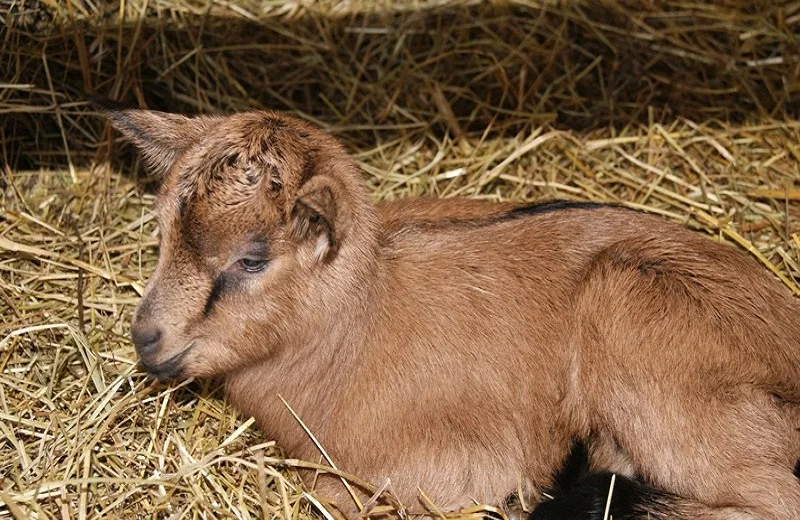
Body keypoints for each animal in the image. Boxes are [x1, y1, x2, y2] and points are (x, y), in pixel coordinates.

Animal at [106, 107, 800, 516]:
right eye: (162, 232)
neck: (356, 327)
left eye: (250, 259)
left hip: (633, 313)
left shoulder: (456, 465)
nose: (147, 338)